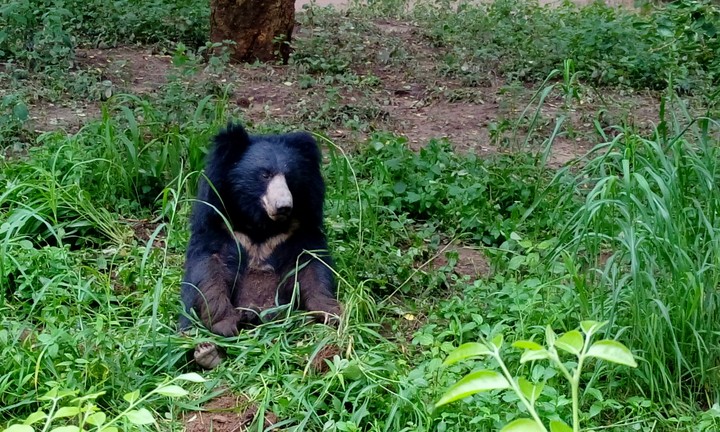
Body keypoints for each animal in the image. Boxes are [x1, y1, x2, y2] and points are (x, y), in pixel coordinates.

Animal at [179, 123, 342, 369]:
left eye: (290, 177)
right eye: (265, 174)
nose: (283, 206)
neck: (260, 223)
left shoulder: (300, 228)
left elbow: (311, 267)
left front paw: (331, 312)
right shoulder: (218, 223)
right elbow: (209, 271)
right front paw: (224, 325)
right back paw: (207, 352)